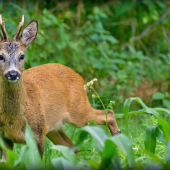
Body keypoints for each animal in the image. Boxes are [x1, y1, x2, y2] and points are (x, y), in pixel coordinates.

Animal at [0, 15, 119, 160]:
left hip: (79, 111)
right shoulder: (4, 137)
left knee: (109, 113)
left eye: (22, 55)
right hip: (54, 127)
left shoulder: (38, 134)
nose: (12, 74)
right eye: (0, 56)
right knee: (72, 146)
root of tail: (80, 78)